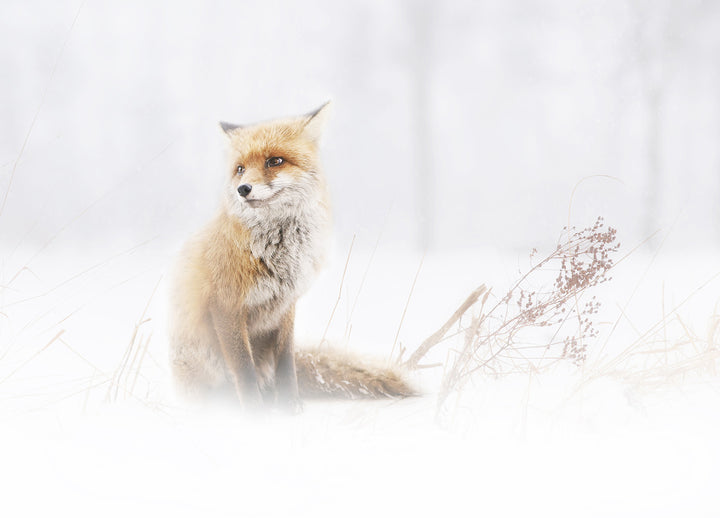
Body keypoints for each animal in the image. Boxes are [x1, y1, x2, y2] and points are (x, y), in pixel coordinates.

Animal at [169, 102, 414, 411]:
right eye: (240, 169)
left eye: (275, 161)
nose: (243, 189)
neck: (279, 256)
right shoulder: (226, 306)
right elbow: (244, 369)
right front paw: (254, 413)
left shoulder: (286, 305)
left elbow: (286, 361)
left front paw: (290, 406)